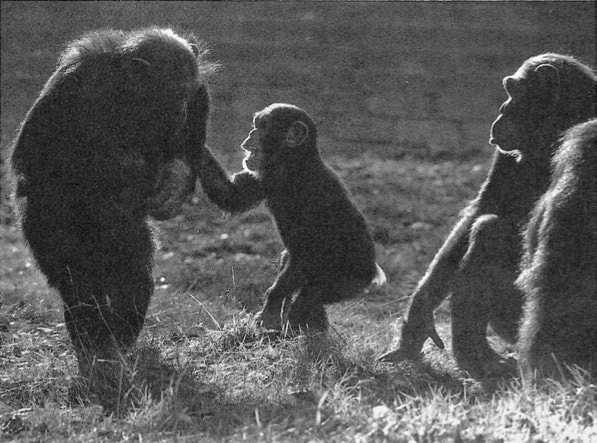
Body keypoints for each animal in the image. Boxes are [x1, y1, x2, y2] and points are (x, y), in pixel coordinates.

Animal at [11, 27, 214, 382]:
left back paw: (114, 346)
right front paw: (122, 164)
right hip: (44, 224)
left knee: (132, 276)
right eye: (169, 96)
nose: (178, 112)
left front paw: (173, 183)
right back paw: (95, 352)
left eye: (183, 97)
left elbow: (192, 135)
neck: (125, 94)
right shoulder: (69, 86)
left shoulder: (197, 91)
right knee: (79, 282)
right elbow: (36, 152)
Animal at [196, 104, 384, 332]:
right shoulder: (264, 178)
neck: (292, 165)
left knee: (310, 293)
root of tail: (373, 274)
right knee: (292, 268)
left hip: (347, 282)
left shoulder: (314, 194)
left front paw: (268, 313)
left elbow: (306, 251)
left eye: (263, 126)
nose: (251, 133)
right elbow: (231, 195)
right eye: (256, 124)